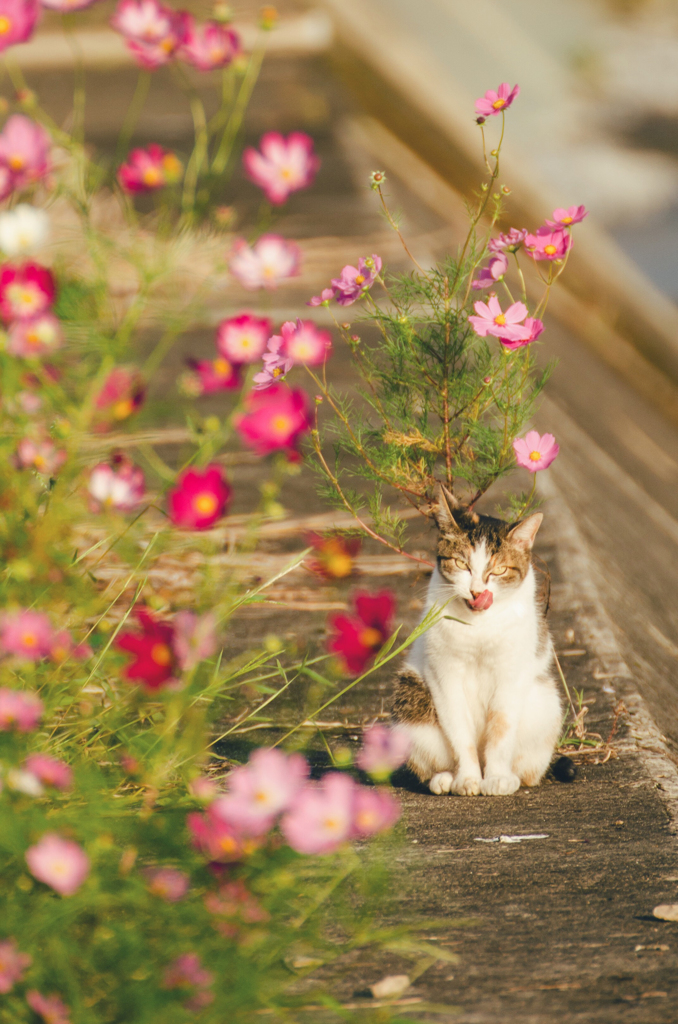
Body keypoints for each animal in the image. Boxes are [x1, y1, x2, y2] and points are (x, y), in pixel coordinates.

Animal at [393, 483, 561, 794]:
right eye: (462, 564)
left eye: (499, 570)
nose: (476, 592)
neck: (479, 626)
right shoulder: (444, 675)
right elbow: (460, 733)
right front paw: (469, 778)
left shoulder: (511, 674)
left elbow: (501, 730)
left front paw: (496, 777)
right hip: (411, 699)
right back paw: (445, 778)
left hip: (544, 703)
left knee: (529, 770)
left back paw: (512, 777)